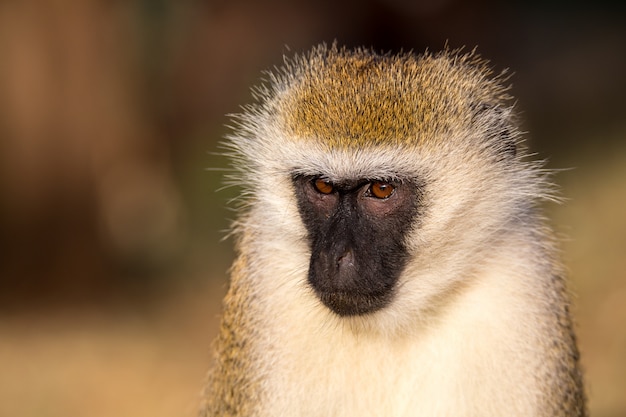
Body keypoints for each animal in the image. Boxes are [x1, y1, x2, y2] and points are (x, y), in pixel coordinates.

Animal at [201, 43, 584, 416]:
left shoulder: (520, 282)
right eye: (322, 186)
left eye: (381, 189)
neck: (393, 325)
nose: (336, 257)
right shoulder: (264, 280)